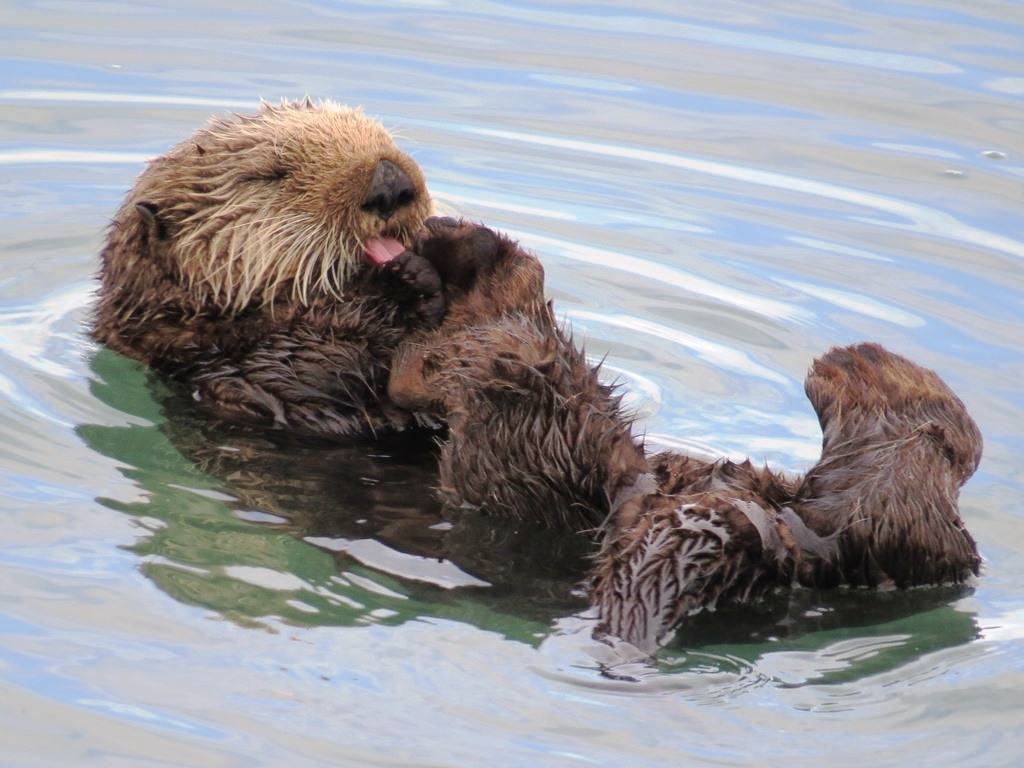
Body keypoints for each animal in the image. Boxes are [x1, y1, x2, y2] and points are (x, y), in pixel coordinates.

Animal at [92, 99, 447, 438]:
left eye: (383, 139)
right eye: (268, 175)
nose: (389, 184)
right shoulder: (239, 374)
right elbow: (318, 368)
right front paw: (405, 282)